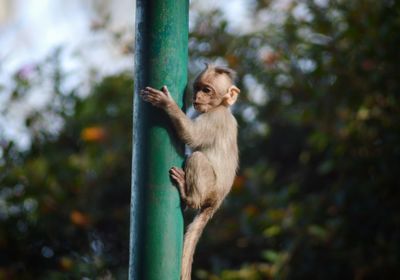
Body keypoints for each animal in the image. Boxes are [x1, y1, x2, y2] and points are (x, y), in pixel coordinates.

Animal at [141, 64, 241, 280]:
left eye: (207, 90)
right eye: (197, 88)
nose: (197, 96)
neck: (220, 107)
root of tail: (217, 201)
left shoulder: (214, 118)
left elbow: (192, 136)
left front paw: (166, 104)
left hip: (210, 188)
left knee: (196, 158)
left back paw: (189, 197)